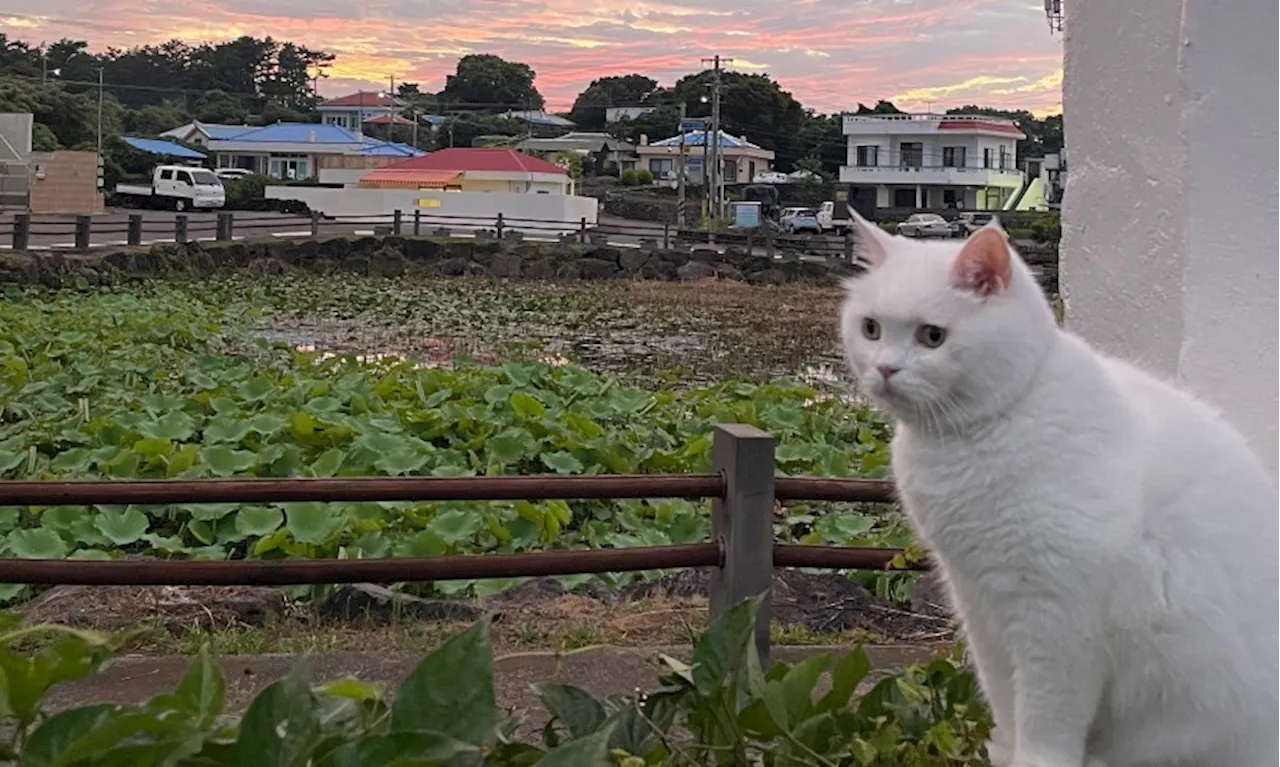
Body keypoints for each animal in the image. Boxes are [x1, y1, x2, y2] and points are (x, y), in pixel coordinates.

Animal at [839, 216, 1280, 767]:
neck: (981, 433)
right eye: (870, 328)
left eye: (932, 336)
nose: (884, 369)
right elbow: (1004, 700)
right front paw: (1004, 752)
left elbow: (1045, 718)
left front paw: (1034, 759)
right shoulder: (978, 601)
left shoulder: (1055, 618)